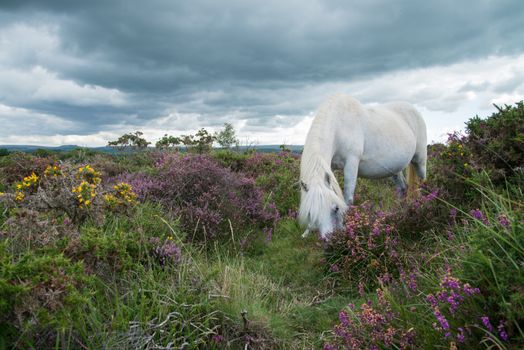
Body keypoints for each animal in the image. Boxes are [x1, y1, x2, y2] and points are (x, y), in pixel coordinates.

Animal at [298, 94, 426, 239]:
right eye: (310, 213)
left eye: (335, 208)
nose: (329, 239)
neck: (339, 124)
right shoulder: (330, 166)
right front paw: (306, 232)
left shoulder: (352, 163)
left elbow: (347, 198)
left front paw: (345, 226)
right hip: (395, 169)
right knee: (402, 187)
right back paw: (397, 212)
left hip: (420, 161)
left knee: (422, 182)